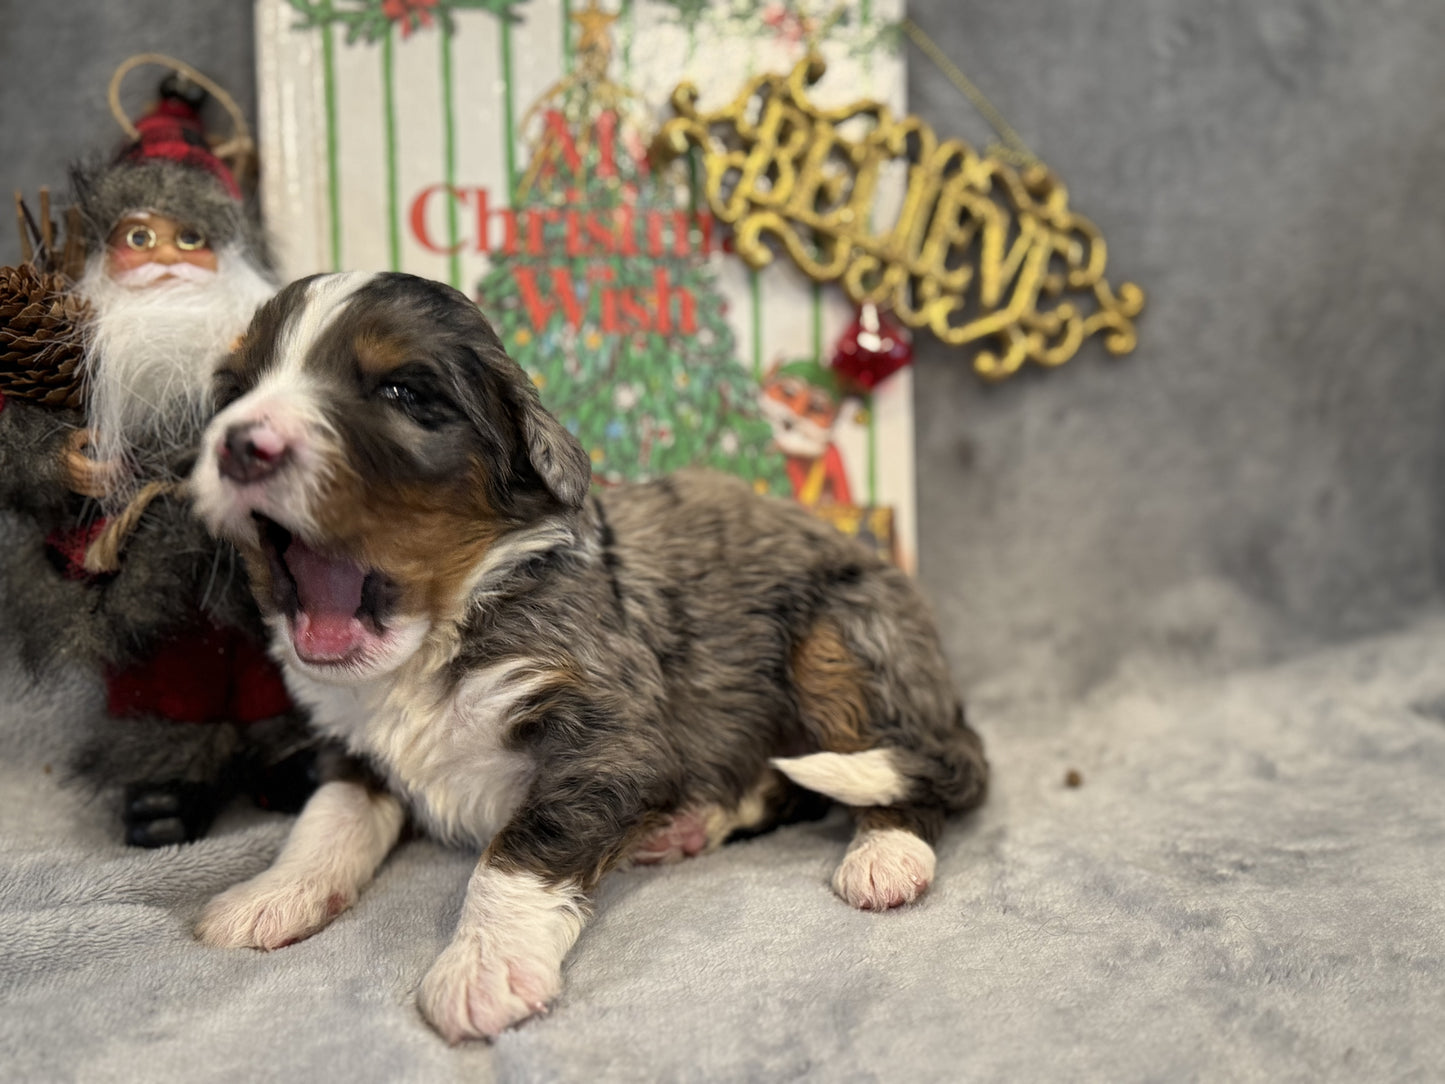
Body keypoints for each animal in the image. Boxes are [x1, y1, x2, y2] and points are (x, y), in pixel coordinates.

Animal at [192, 271, 988, 1046]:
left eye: (402, 393)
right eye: (234, 392)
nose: (239, 444)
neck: (434, 640)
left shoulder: (612, 729)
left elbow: (519, 848)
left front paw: (481, 972)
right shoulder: (353, 745)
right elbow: (327, 816)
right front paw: (270, 895)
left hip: (843, 639)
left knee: (908, 768)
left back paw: (883, 857)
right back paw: (692, 823)